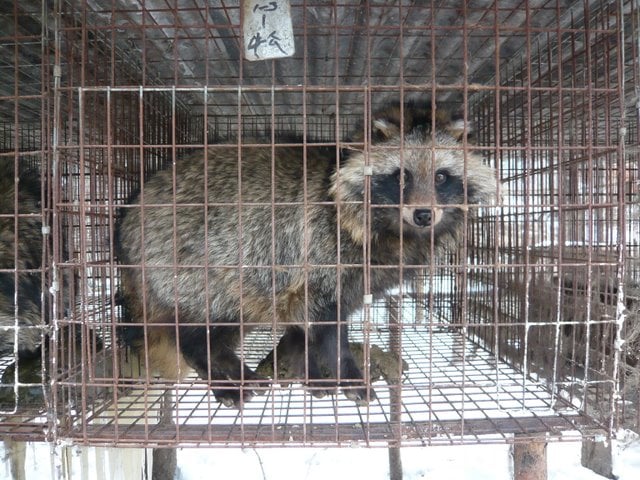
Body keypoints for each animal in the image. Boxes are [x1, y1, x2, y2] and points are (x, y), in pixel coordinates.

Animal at [116, 100, 496, 404]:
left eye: (442, 177)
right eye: (401, 176)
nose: (423, 215)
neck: (394, 231)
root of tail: (129, 219)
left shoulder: (331, 282)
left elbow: (303, 334)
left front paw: (310, 372)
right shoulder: (318, 255)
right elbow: (328, 330)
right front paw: (347, 374)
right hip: (195, 265)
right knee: (198, 329)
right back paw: (217, 371)